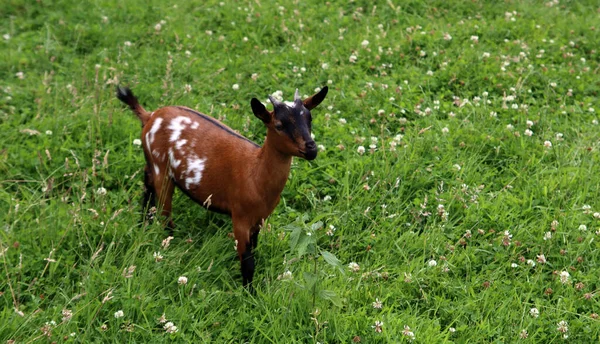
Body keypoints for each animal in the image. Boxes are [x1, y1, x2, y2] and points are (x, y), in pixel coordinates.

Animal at [116, 84, 328, 286]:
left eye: (309, 118)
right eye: (279, 125)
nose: (311, 148)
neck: (255, 171)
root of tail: (150, 116)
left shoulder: (260, 218)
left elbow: (254, 250)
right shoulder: (240, 217)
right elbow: (248, 262)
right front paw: (249, 293)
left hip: (151, 164)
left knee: (147, 188)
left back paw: (143, 223)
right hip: (162, 170)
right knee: (165, 213)